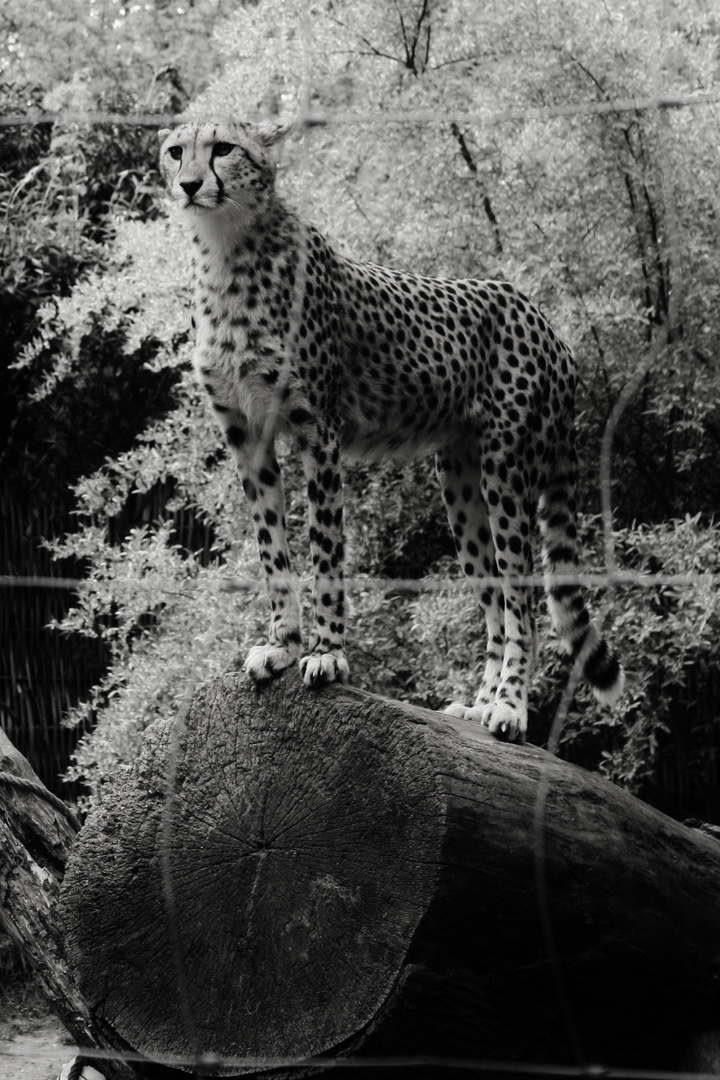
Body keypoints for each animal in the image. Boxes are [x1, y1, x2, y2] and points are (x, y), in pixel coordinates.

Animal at [158, 118, 626, 743]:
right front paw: (282, 646)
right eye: (175, 151)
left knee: (521, 600)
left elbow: (325, 550)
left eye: (224, 149)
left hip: (508, 468)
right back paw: (480, 705)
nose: (189, 184)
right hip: (460, 483)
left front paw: (328, 654)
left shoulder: (320, 431)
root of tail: (545, 319)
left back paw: (510, 707)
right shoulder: (247, 436)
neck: (225, 248)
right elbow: (273, 551)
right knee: (495, 602)